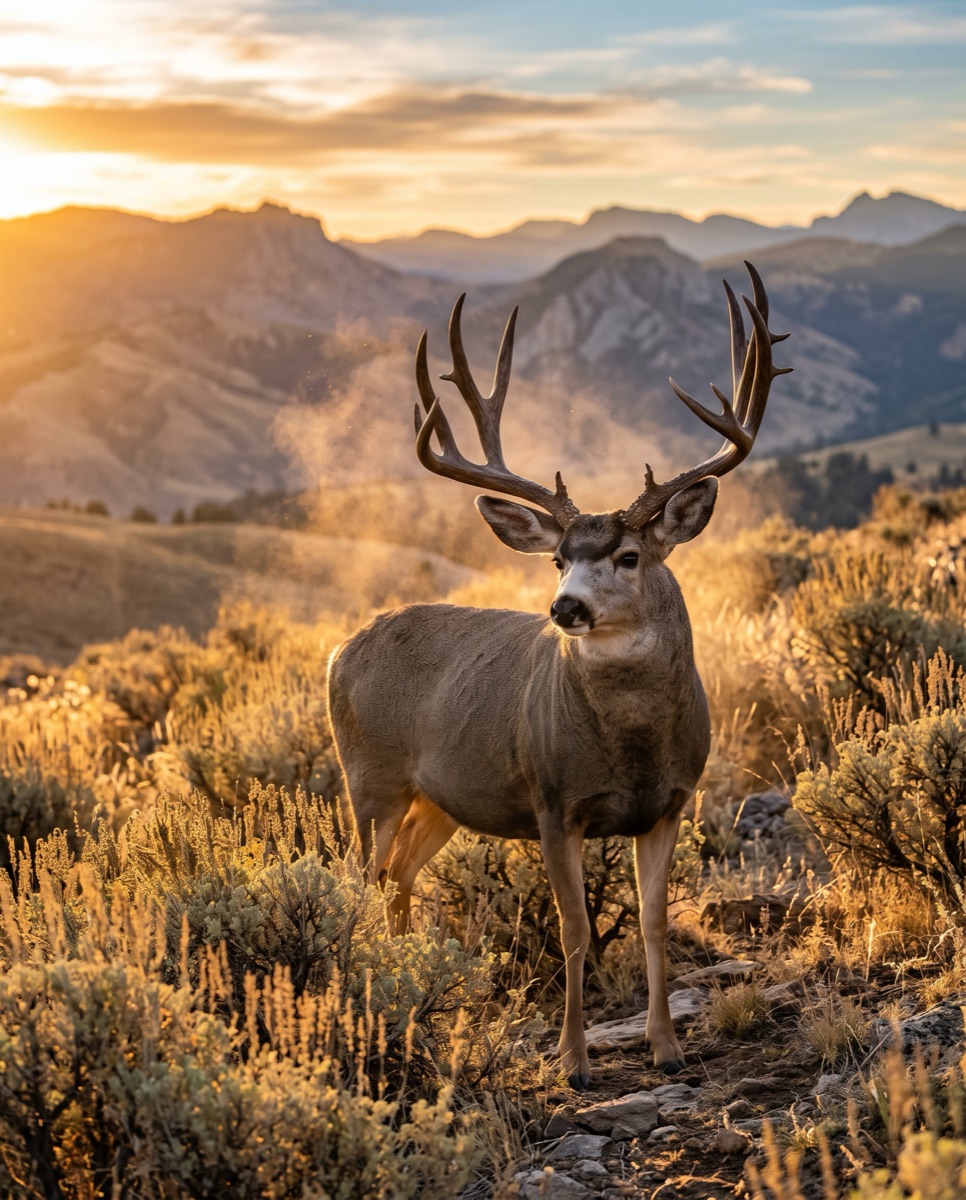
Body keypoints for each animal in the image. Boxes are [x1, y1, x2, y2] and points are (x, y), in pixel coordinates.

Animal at [326, 263, 790, 1088]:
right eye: (557, 557)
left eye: (629, 556)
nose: (565, 606)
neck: (631, 748)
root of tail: (336, 652)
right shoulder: (552, 802)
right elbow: (575, 930)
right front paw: (573, 1060)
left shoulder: (672, 802)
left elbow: (653, 921)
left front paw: (667, 1047)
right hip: (369, 779)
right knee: (364, 877)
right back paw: (384, 988)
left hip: (440, 799)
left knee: (400, 877)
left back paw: (412, 984)